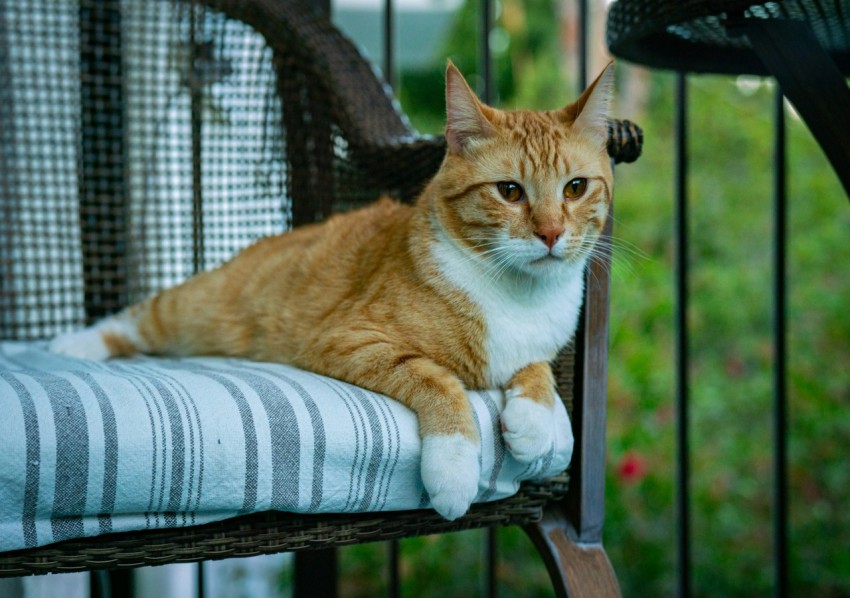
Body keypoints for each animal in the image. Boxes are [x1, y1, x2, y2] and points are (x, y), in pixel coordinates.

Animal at [51, 61, 608, 520]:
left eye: (576, 188)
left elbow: (536, 369)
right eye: (509, 191)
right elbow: (438, 380)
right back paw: (71, 346)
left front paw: (532, 419)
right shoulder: (349, 339)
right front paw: (453, 470)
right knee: (137, 316)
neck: (517, 295)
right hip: (196, 307)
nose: (552, 233)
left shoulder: (536, 346)